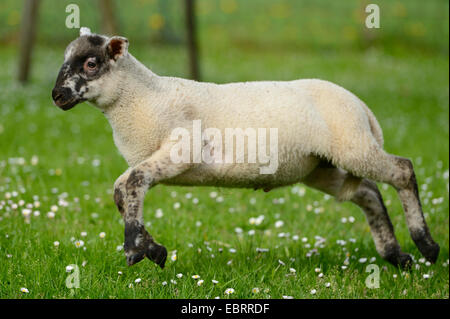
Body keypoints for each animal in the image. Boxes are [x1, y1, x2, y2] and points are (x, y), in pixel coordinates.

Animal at [50, 28, 440, 272]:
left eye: (91, 63)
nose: (57, 95)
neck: (142, 98)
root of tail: (360, 105)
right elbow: (122, 191)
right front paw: (154, 251)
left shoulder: (181, 151)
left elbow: (130, 184)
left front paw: (135, 250)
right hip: (320, 166)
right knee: (367, 193)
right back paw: (396, 256)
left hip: (352, 146)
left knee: (402, 170)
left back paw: (426, 246)